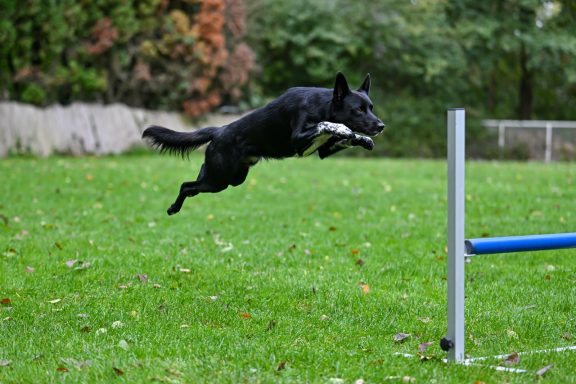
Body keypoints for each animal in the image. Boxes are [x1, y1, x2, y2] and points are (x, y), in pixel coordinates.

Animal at [143, 73, 384, 214]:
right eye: (358, 110)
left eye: (371, 107)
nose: (381, 126)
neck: (322, 105)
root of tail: (219, 130)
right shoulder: (298, 138)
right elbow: (328, 125)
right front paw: (344, 128)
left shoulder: (323, 150)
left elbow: (345, 137)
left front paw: (363, 139)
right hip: (218, 179)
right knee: (186, 185)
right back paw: (173, 208)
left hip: (229, 179)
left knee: (193, 184)